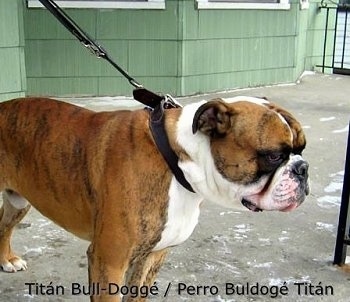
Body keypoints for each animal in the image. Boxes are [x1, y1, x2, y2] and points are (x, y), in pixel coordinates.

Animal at [0, 95, 308, 300]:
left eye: (301, 149)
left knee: (4, 226)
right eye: (274, 156)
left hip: (19, 200)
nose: (303, 169)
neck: (176, 159)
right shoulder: (109, 260)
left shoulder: (152, 257)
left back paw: (6, 259)